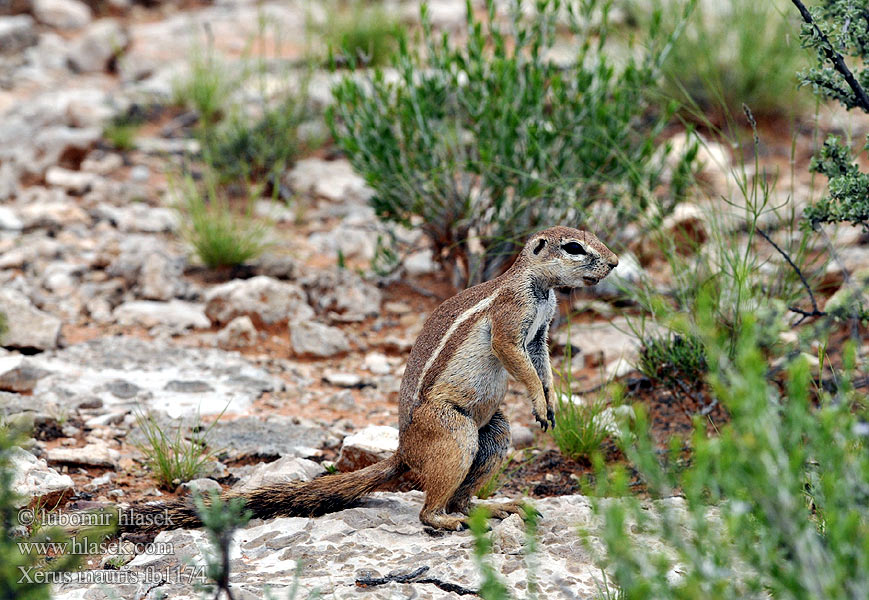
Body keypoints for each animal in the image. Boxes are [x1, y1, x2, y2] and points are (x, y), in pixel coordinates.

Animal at [129, 227, 616, 532]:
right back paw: (446, 520)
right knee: (430, 508)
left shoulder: (541, 332)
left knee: (468, 490)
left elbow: (542, 363)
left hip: (493, 432)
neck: (540, 287)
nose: (613, 262)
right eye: (574, 247)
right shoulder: (511, 318)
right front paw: (537, 399)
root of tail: (404, 453)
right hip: (453, 432)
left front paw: (551, 399)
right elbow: (514, 357)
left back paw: (497, 506)